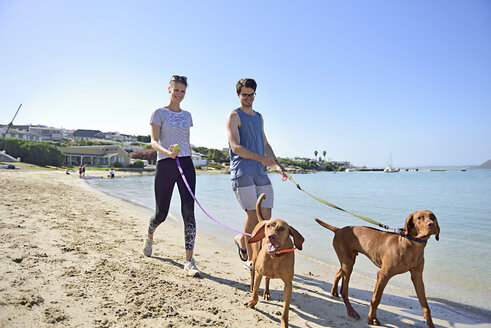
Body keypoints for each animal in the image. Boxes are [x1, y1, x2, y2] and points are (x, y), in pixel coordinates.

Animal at [248, 193, 306, 326]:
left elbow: (285, 310)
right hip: (255, 257)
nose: (270, 236)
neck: (276, 257)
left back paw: (267, 292)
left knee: (268, 278)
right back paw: (252, 285)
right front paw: (252, 303)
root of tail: (263, 220)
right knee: (252, 270)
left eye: (282, 229)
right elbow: (255, 294)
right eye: (269, 227)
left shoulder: (288, 284)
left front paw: (284, 323)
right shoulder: (259, 273)